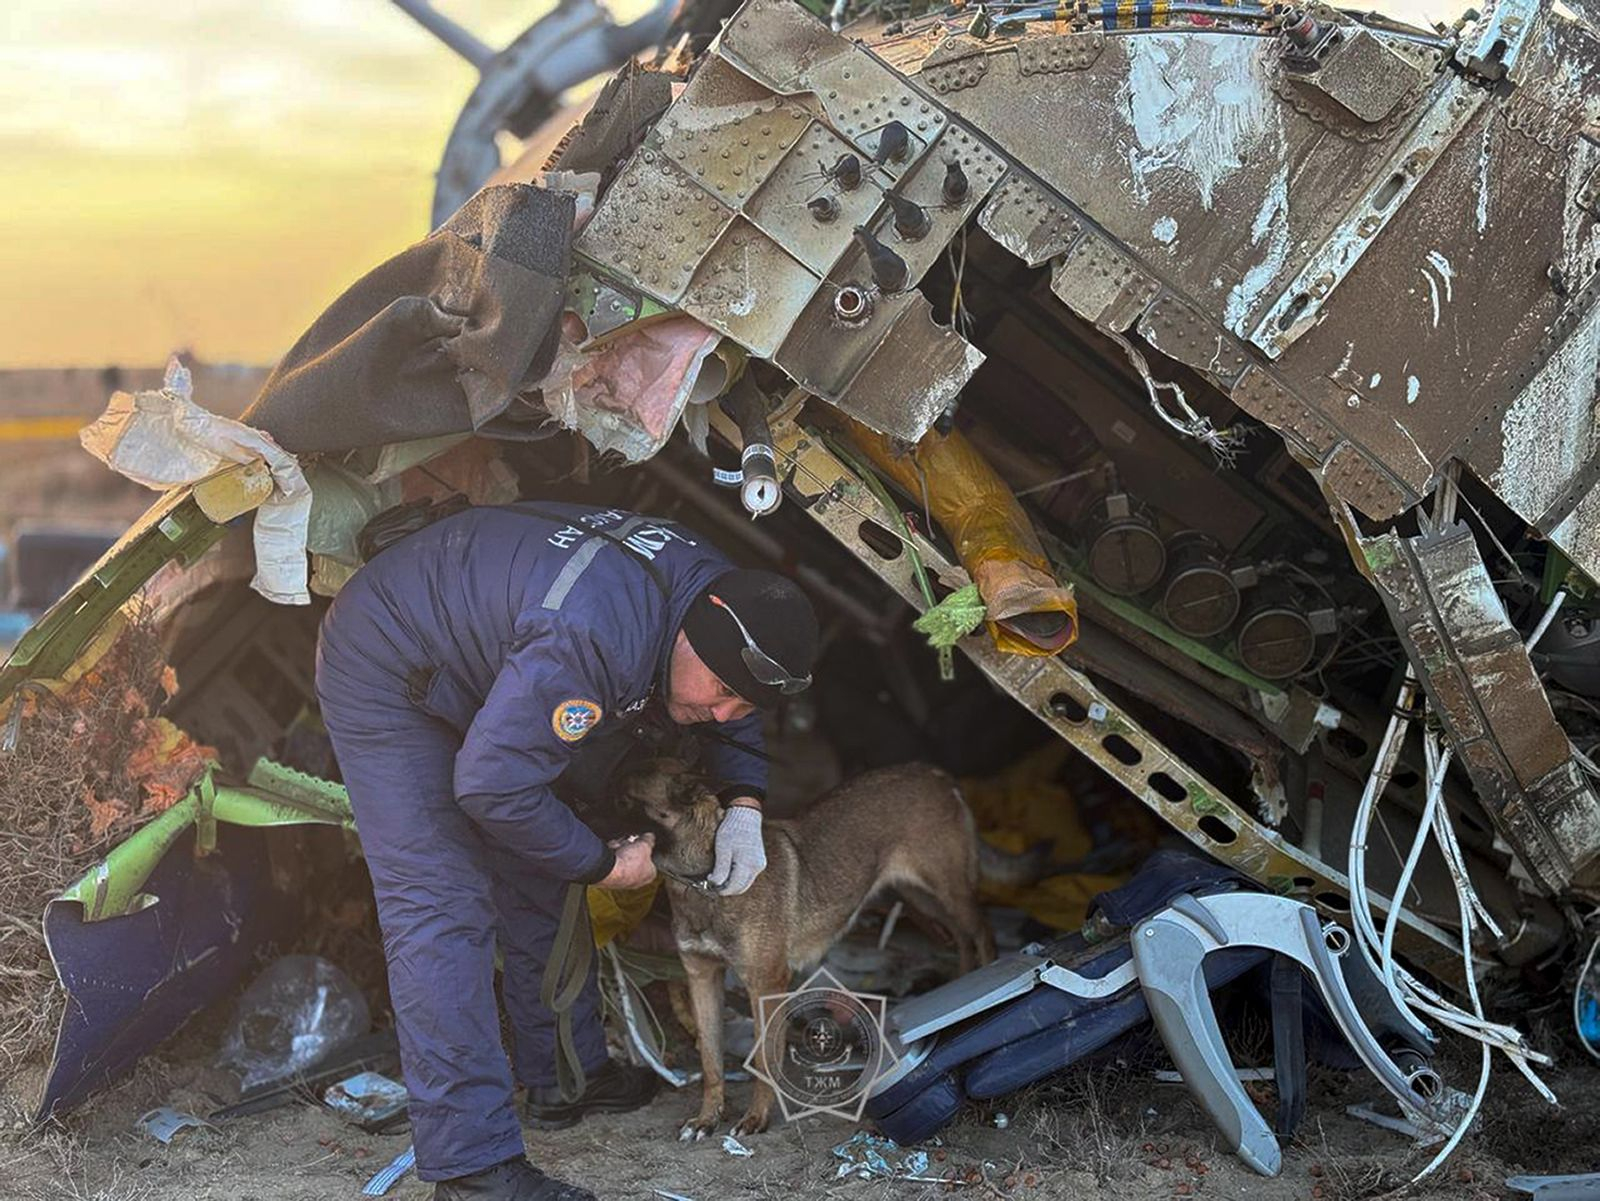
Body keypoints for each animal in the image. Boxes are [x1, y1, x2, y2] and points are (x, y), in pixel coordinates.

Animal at [617, 764, 992, 1138]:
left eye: (623, 800)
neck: (704, 881)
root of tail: (935, 773)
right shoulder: (701, 977)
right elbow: (711, 1060)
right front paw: (707, 1119)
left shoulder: (766, 983)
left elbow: (765, 1058)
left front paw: (756, 1118)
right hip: (919, 896)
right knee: (961, 938)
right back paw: (962, 980)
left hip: (948, 892)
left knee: (981, 933)